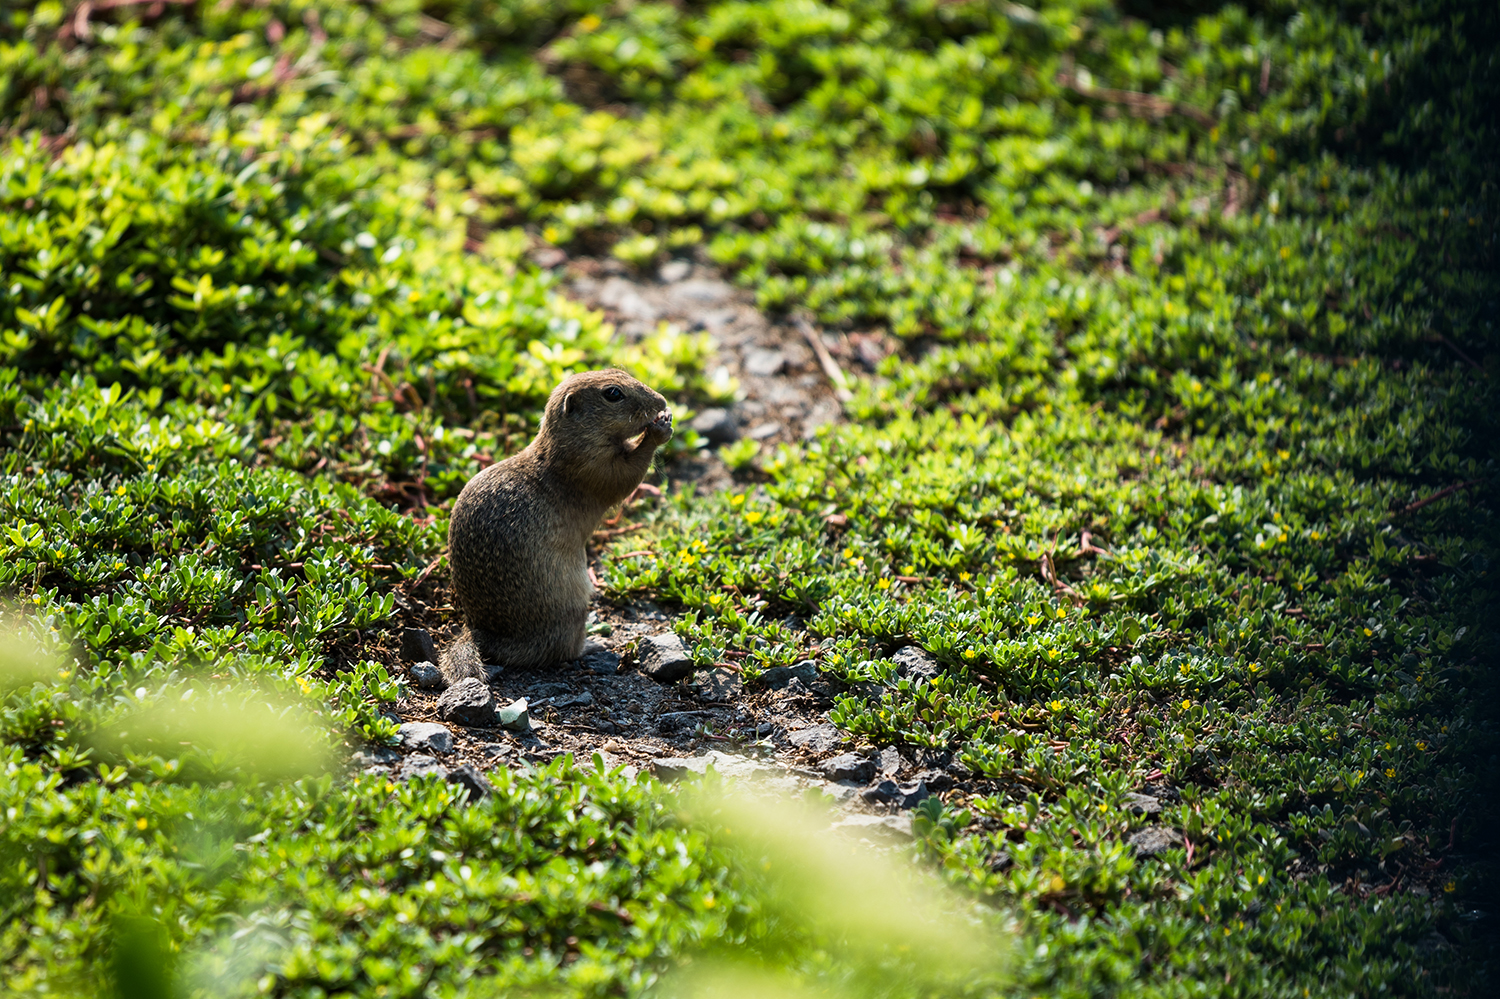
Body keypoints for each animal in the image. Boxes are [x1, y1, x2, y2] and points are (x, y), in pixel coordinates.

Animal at [438, 369, 675, 681]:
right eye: (613, 393)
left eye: (623, 371)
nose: (661, 401)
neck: (564, 445)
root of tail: (488, 634)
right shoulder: (594, 469)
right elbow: (626, 473)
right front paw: (659, 430)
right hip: (573, 609)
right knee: (562, 650)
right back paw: (592, 645)